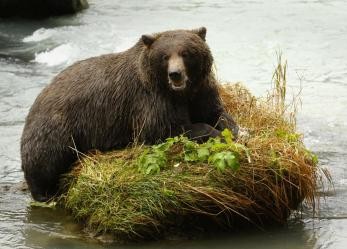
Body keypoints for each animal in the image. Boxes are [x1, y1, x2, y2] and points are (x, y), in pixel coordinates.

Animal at [21, 27, 239, 202]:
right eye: (165, 56)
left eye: (186, 53)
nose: (175, 74)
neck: (180, 93)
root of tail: (38, 97)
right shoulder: (150, 99)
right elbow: (166, 128)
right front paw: (213, 133)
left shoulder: (201, 90)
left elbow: (216, 112)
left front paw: (231, 129)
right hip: (58, 125)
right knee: (45, 160)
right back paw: (44, 194)